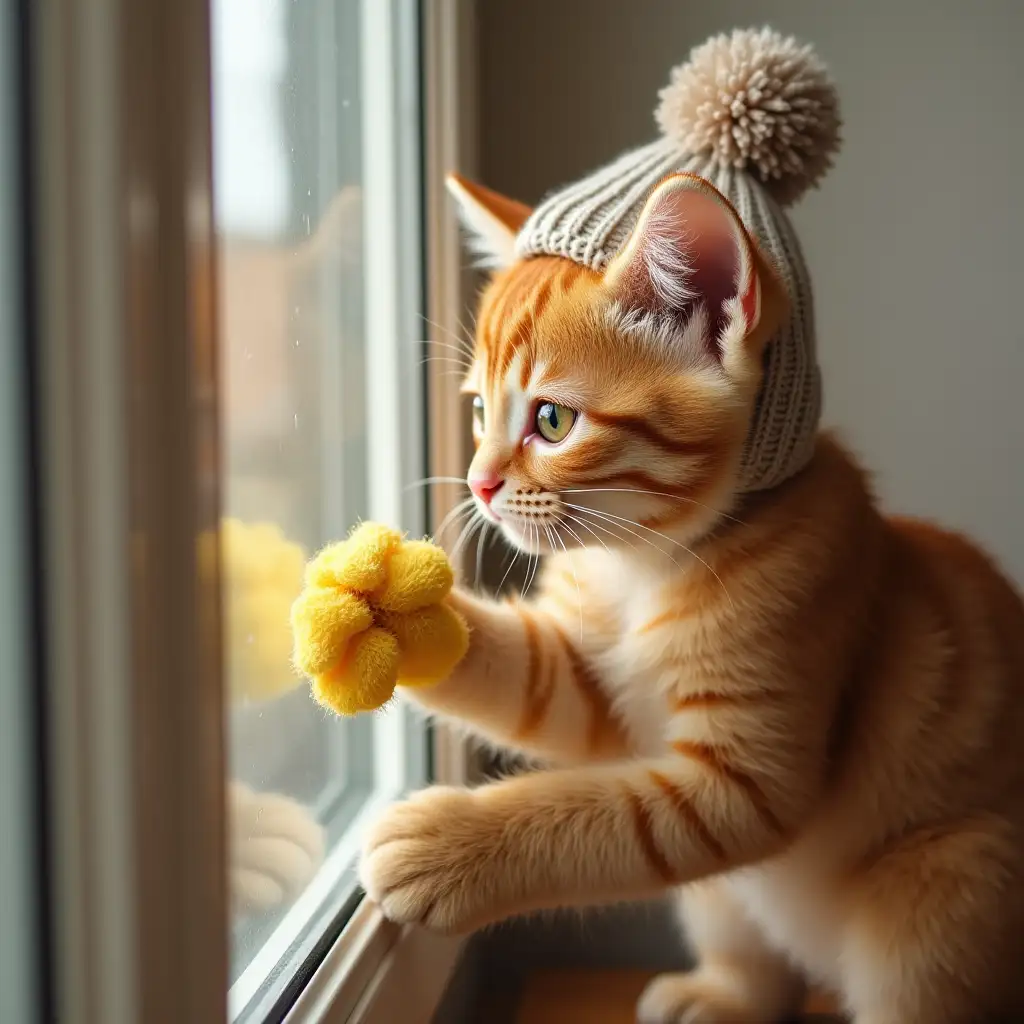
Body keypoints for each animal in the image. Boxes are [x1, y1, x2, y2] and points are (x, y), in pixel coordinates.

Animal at [358, 172, 1024, 1019]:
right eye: (478, 412)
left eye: (552, 420)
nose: (477, 484)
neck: (641, 566)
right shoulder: (591, 685)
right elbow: (529, 680)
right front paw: (390, 611)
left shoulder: (745, 780)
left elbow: (602, 814)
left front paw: (445, 847)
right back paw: (724, 995)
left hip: (950, 887)